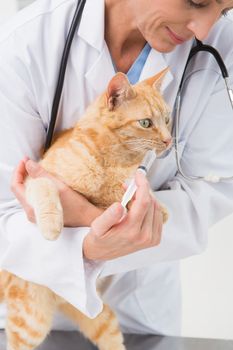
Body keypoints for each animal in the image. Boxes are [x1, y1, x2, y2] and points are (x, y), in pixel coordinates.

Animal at [0, 69, 172, 350]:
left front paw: (158, 207)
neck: (112, 159)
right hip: (31, 323)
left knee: (111, 337)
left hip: (101, 319)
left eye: (167, 119)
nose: (169, 140)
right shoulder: (33, 178)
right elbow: (46, 189)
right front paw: (51, 226)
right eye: (146, 123)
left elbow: (118, 195)